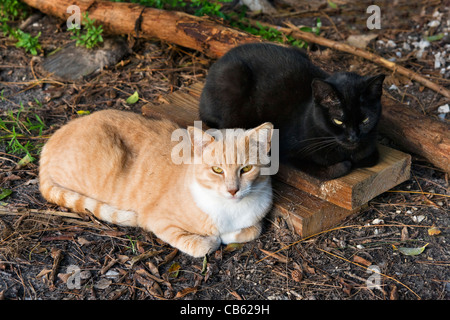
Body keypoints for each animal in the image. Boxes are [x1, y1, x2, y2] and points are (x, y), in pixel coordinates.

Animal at [40, 110, 274, 258]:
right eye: (217, 170)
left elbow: (254, 230)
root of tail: (50, 140)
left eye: (246, 169)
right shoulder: (158, 221)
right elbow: (201, 245)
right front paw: (213, 239)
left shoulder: (256, 217)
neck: (229, 210)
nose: (233, 190)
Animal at [200, 43, 386, 180]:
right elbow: (330, 169)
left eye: (365, 120)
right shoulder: (288, 152)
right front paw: (345, 164)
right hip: (234, 79)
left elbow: (371, 156)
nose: (353, 137)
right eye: (338, 121)